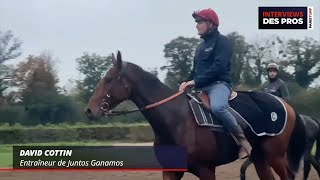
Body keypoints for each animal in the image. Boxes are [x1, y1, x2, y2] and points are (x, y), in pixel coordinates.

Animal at [84, 51, 304, 180]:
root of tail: (288, 106)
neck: (176, 121)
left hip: (275, 156)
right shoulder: (170, 172)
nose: (89, 110)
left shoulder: (206, 170)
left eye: (109, 79)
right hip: (260, 157)